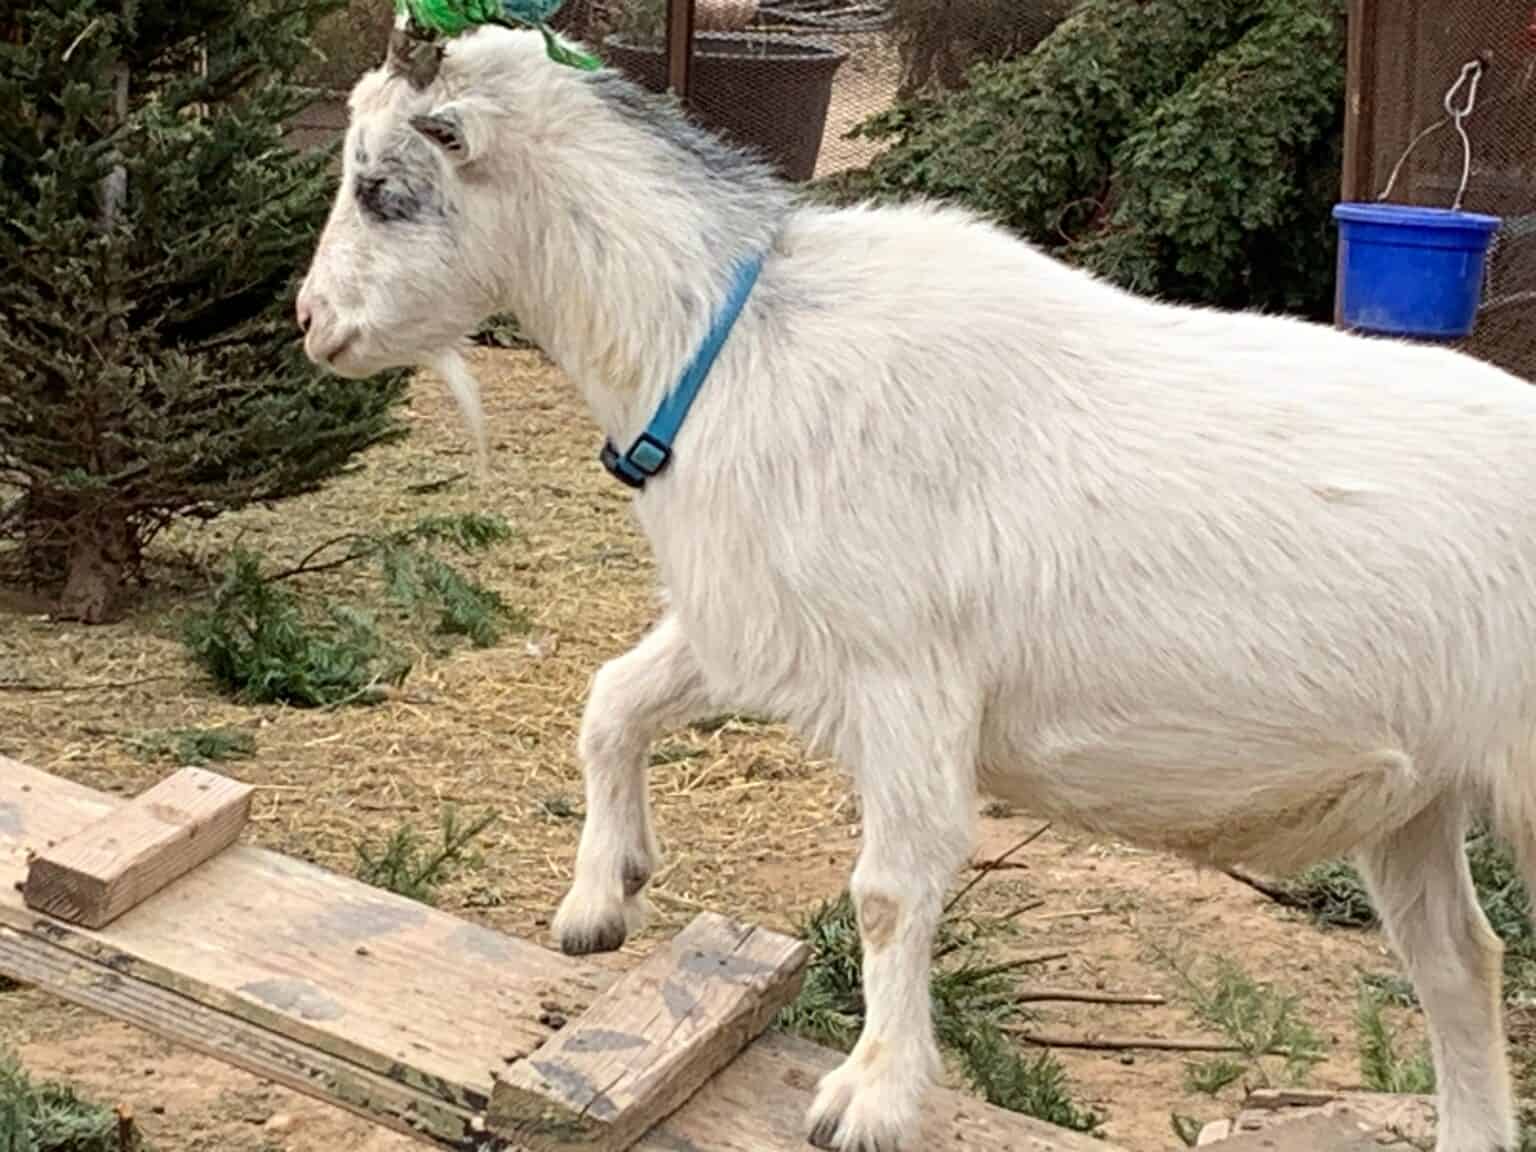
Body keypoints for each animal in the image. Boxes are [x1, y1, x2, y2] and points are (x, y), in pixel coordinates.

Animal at [297, 24, 1536, 1152]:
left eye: (380, 187)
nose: (314, 324)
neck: (731, 342)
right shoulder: (758, 625)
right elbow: (611, 701)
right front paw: (602, 900)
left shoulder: (906, 679)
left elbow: (891, 890)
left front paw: (871, 1098)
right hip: (1420, 801)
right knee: (1459, 961)